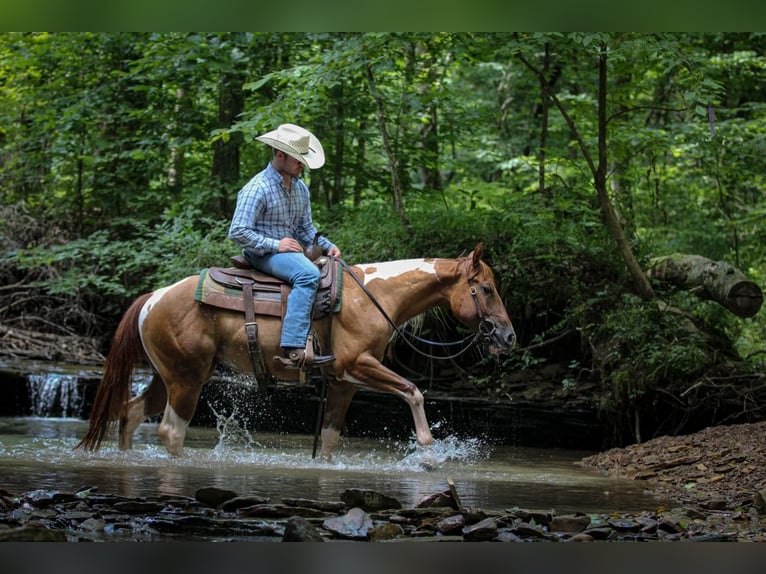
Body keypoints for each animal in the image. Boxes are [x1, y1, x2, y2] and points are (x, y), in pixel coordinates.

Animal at [77, 243, 516, 460]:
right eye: (486, 289)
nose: (509, 336)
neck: (372, 297)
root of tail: (155, 297)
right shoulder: (359, 364)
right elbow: (414, 391)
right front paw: (427, 451)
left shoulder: (343, 382)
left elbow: (330, 440)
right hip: (187, 379)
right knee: (171, 431)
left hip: (165, 375)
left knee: (131, 413)